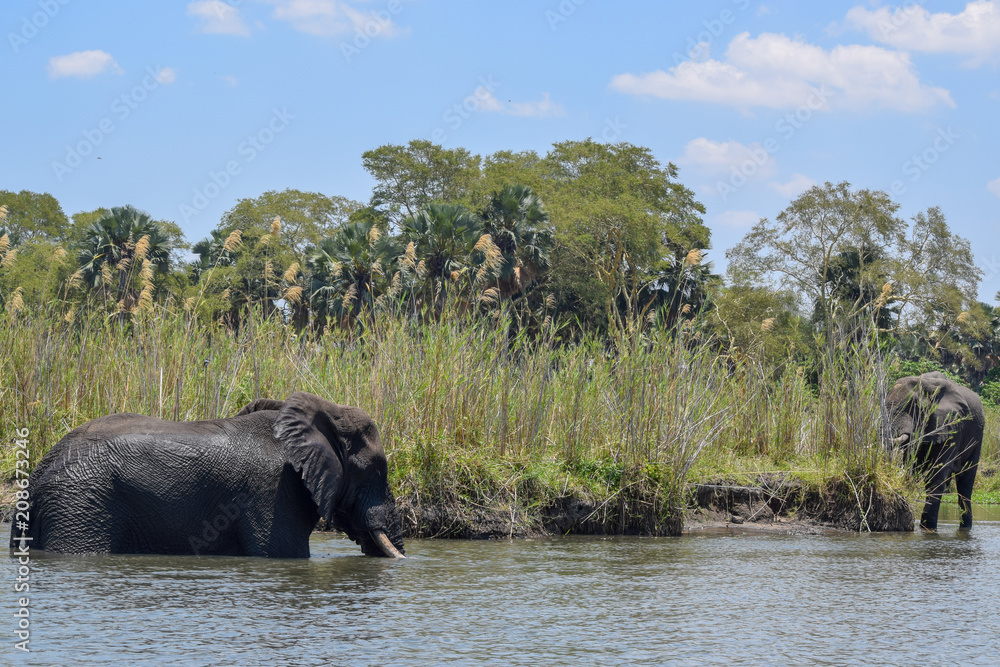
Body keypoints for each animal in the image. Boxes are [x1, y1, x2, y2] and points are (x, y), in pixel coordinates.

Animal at [886, 372, 984, 531]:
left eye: (914, 406)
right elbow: (909, 466)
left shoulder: (952, 426)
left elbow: (936, 476)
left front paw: (928, 527)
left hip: (977, 438)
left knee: (965, 482)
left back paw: (966, 527)